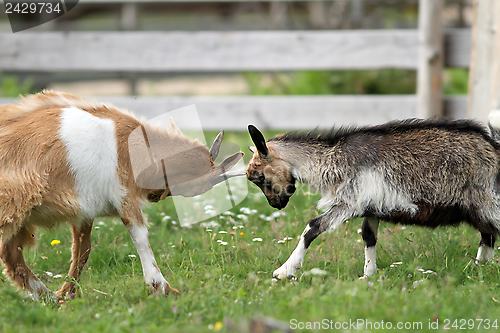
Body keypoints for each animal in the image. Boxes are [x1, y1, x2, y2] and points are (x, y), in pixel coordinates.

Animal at [0, 90, 242, 300]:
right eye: (203, 186)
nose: (155, 195)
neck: (133, 144)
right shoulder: (123, 194)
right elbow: (140, 236)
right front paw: (161, 287)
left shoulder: (84, 212)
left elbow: (82, 251)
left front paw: (67, 294)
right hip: (13, 204)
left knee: (12, 256)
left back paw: (48, 297)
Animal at [248, 118, 500, 278]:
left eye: (259, 176)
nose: (276, 204)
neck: (332, 159)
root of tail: (493, 147)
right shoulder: (372, 207)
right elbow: (369, 237)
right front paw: (368, 276)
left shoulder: (349, 203)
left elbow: (313, 227)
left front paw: (284, 271)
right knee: (487, 235)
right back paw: (480, 269)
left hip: (488, 201)